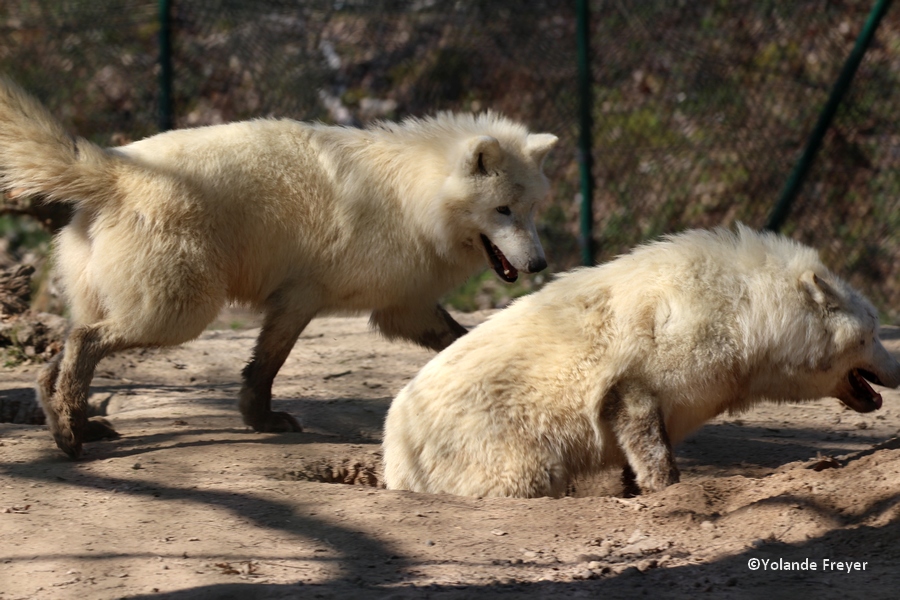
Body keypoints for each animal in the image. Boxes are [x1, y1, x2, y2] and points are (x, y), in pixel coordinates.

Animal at [0, 76, 556, 460]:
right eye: (503, 210)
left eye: (531, 211)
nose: (539, 264)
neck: (410, 198)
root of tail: (115, 167)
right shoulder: (302, 298)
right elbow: (267, 364)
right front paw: (262, 420)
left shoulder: (404, 308)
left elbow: (461, 339)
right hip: (180, 315)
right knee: (83, 341)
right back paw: (72, 436)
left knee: (54, 361)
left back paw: (72, 425)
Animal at [384, 225, 900, 496]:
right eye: (874, 333)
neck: (740, 313)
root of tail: (392, 447)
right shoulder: (634, 394)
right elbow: (657, 464)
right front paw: (666, 495)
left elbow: (636, 466)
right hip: (527, 475)